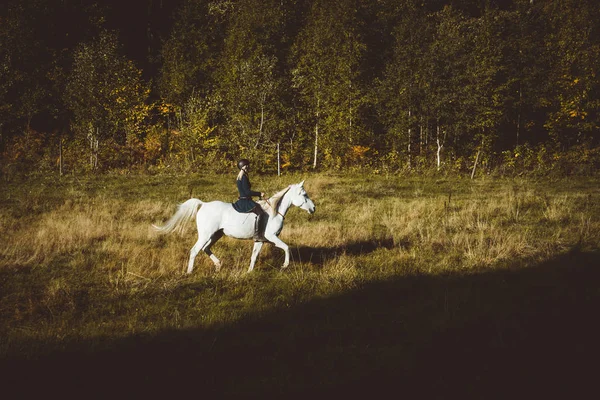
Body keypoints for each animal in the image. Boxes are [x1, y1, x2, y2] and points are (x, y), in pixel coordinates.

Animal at [152, 180, 316, 272]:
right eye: (305, 195)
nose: (313, 208)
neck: (274, 211)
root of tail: (203, 204)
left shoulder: (260, 240)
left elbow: (254, 256)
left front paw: (249, 272)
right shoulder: (272, 237)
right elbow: (287, 248)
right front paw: (285, 265)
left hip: (216, 234)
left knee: (206, 248)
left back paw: (218, 266)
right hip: (205, 234)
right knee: (195, 250)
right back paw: (189, 272)